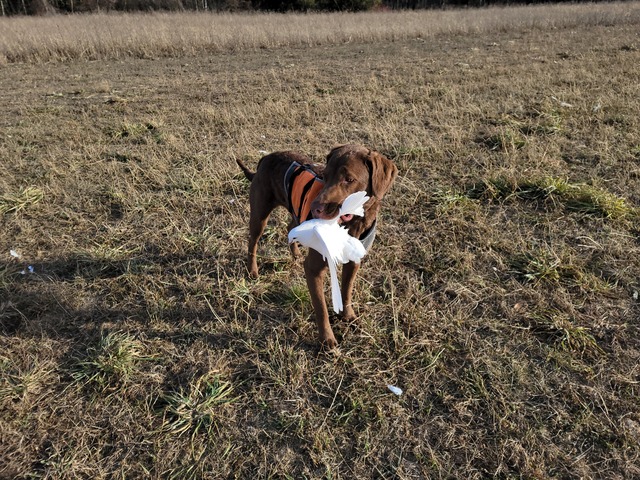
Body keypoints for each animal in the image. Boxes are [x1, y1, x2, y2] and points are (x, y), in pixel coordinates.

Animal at [236, 143, 396, 348]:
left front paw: (348, 316)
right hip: (259, 214)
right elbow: (321, 308)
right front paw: (327, 339)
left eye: (349, 179)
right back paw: (253, 270)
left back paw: (296, 254)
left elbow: (347, 292)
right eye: (325, 175)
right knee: (253, 241)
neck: (353, 225)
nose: (315, 207)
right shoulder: (313, 270)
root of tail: (266, 158)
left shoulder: (354, 262)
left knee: (290, 227)